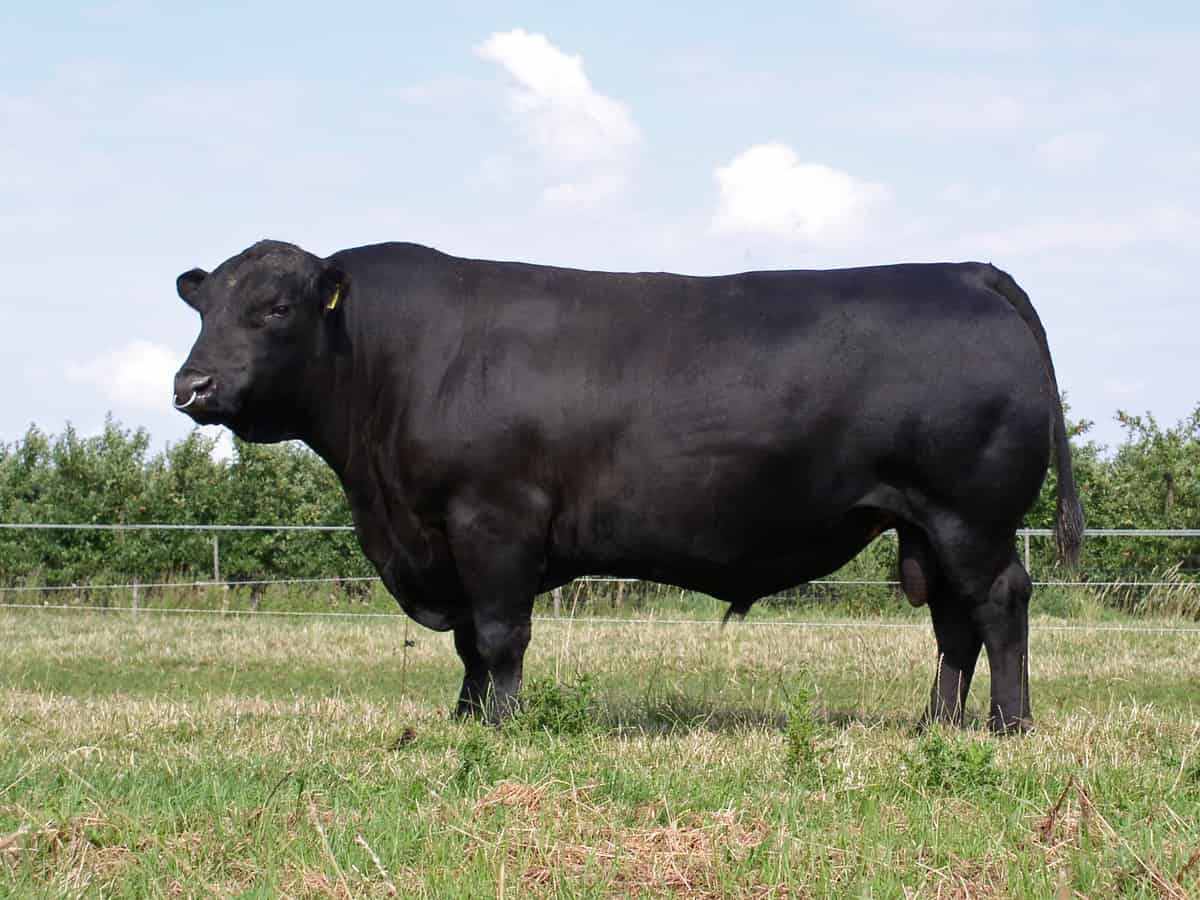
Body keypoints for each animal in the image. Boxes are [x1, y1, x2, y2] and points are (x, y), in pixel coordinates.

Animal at [173, 240, 1082, 733]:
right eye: (202, 307)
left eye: (277, 307)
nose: (192, 385)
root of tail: (963, 272)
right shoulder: (445, 537)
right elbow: (468, 643)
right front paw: (463, 719)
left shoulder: (492, 519)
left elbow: (498, 636)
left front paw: (501, 726)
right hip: (927, 523)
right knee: (952, 621)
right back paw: (937, 723)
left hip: (971, 514)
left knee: (1000, 601)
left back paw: (1007, 725)